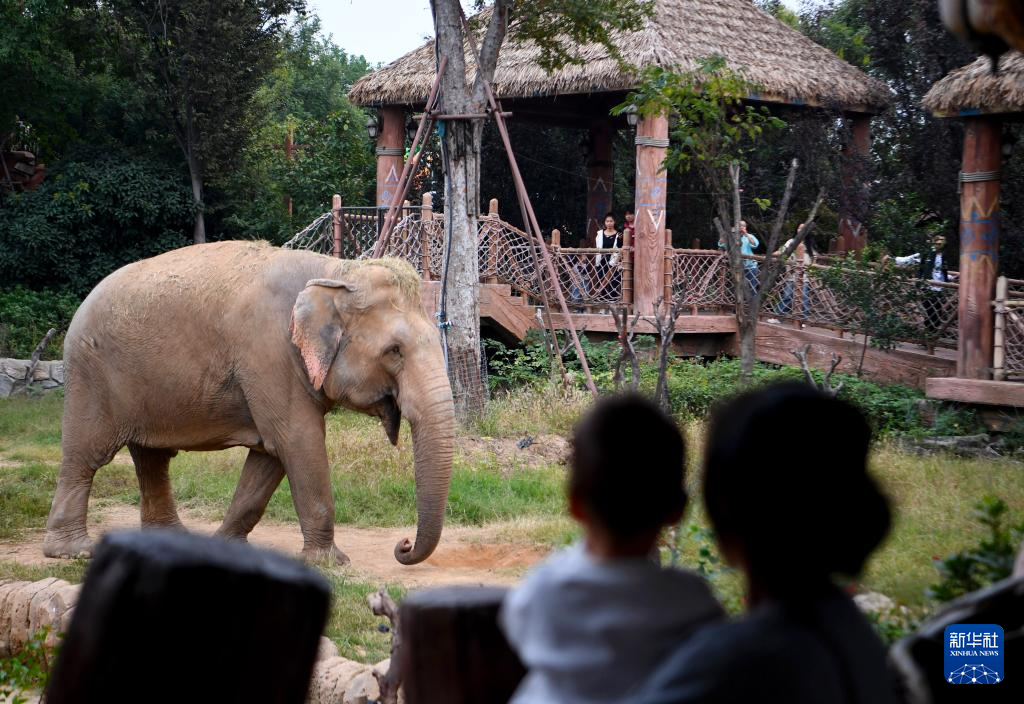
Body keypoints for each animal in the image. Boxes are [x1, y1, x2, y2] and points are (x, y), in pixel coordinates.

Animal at [43, 241, 452, 564]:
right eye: (394, 350)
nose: (402, 545)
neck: (335, 272)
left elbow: (268, 458)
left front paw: (226, 547)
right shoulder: (269, 354)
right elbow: (297, 442)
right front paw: (331, 562)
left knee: (152, 458)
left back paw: (169, 540)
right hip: (90, 376)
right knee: (87, 456)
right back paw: (72, 552)